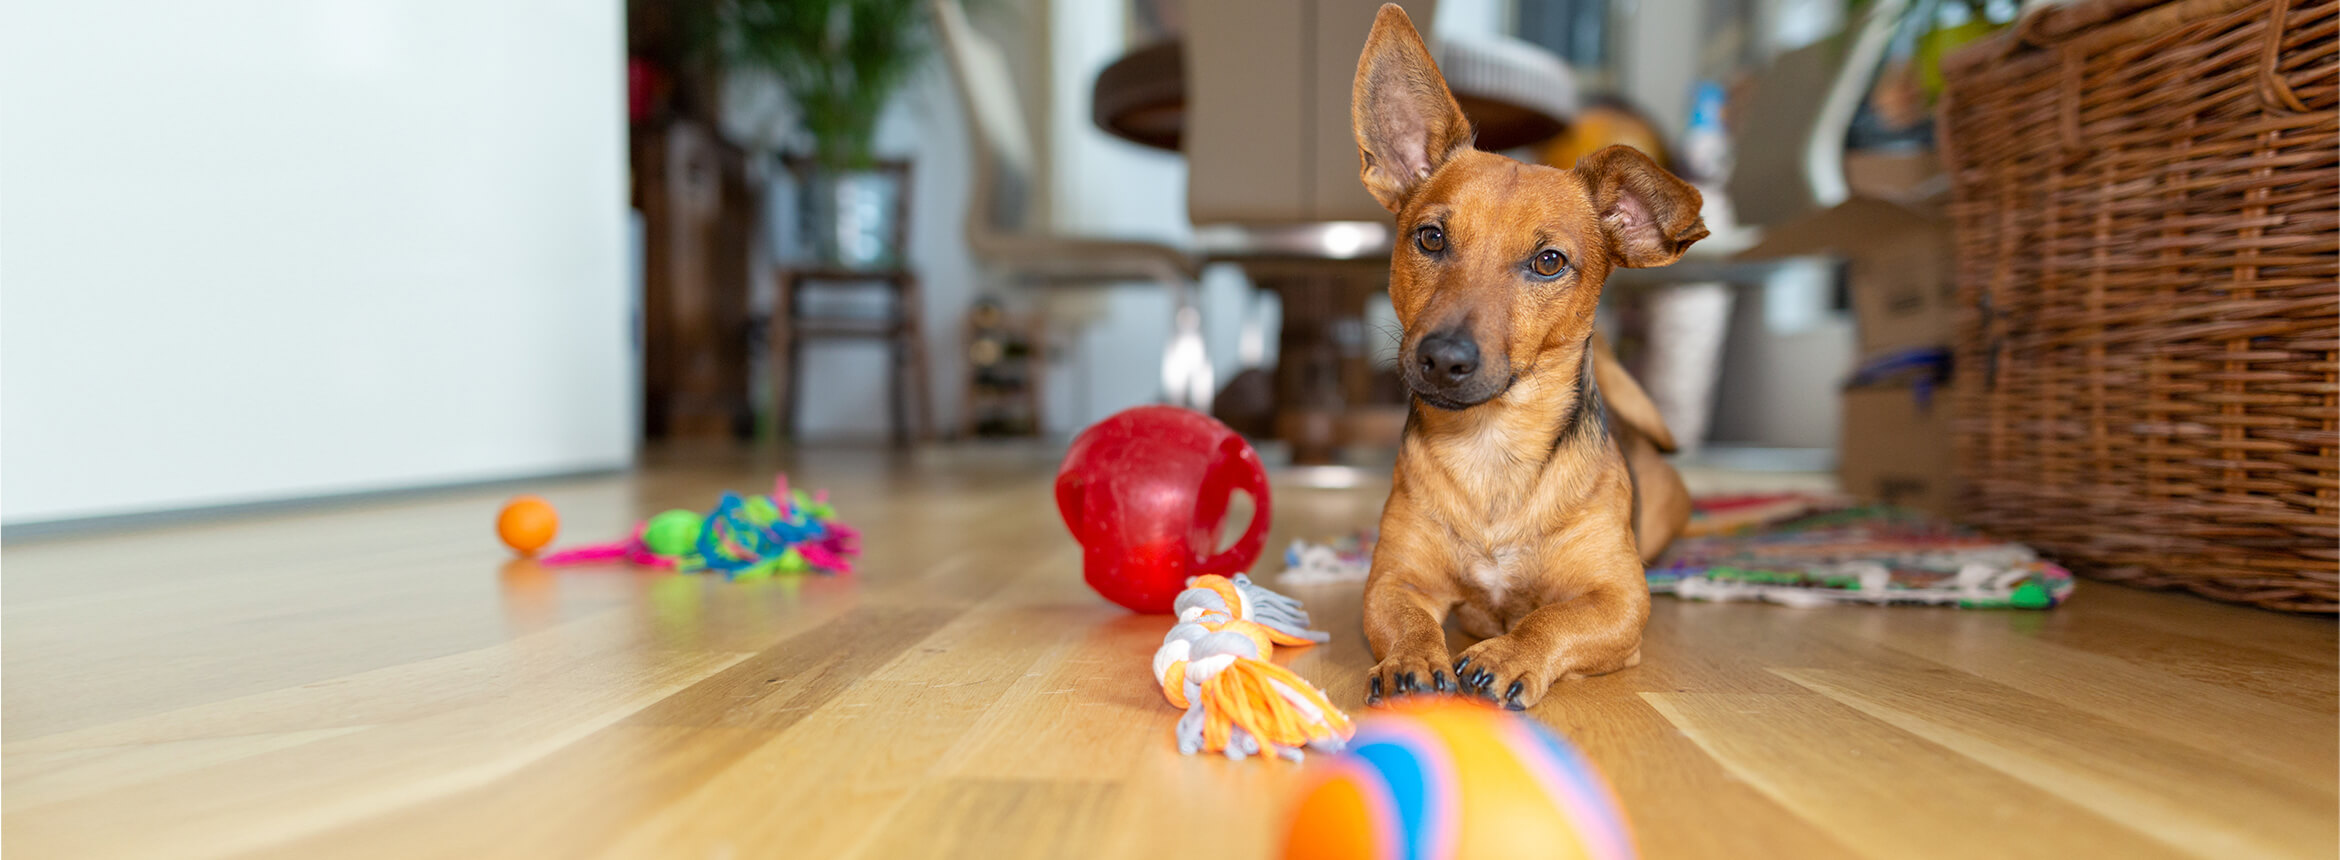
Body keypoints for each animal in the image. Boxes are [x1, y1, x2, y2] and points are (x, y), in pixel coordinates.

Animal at [1347, 6, 1712, 710]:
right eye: (1429, 237)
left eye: (1549, 262)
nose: (1443, 359)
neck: (1493, 450)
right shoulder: (1393, 580)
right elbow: (1406, 620)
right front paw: (1412, 659)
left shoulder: (1620, 601)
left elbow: (1553, 619)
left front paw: (1510, 653)